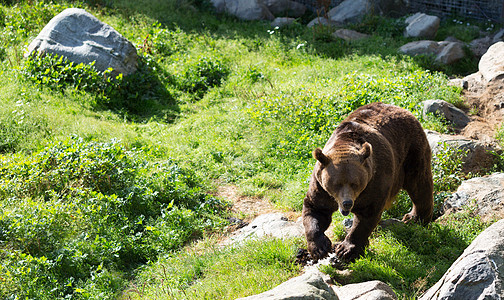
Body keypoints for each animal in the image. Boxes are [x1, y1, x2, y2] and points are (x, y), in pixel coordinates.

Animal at [302, 102, 436, 262]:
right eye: (336, 184)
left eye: (355, 183)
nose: (347, 203)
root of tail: (401, 108)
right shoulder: (321, 186)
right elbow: (315, 209)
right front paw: (320, 248)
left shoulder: (374, 181)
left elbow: (367, 215)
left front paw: (346, 249)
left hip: (411, 151)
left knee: (419, 184)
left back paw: (415, 218)